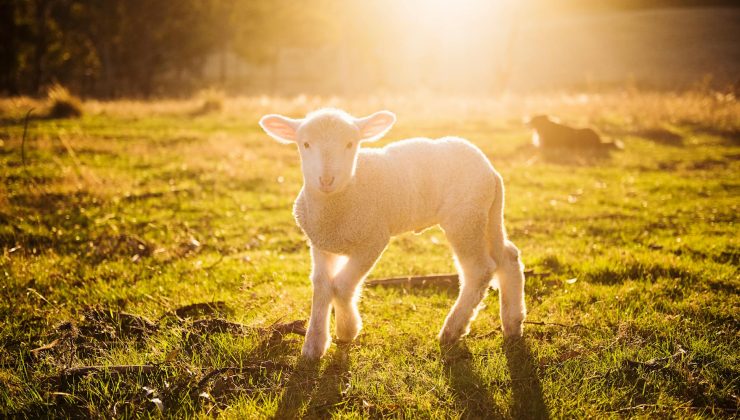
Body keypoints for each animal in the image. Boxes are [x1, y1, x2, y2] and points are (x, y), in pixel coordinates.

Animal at [260, 108, 528, 358]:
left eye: (350, 144)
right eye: (305, 144)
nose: (326, 180)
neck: (341, 198)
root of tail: (490, 170)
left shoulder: (373, 240)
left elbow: (342, 286)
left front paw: (347, 329)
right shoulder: (320, 243)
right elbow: (322, 285)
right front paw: (314, 345)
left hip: (465, 218)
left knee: (479, 270)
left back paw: (452, 330)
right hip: (487, 215)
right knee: (508, 257)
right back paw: (513, 323)